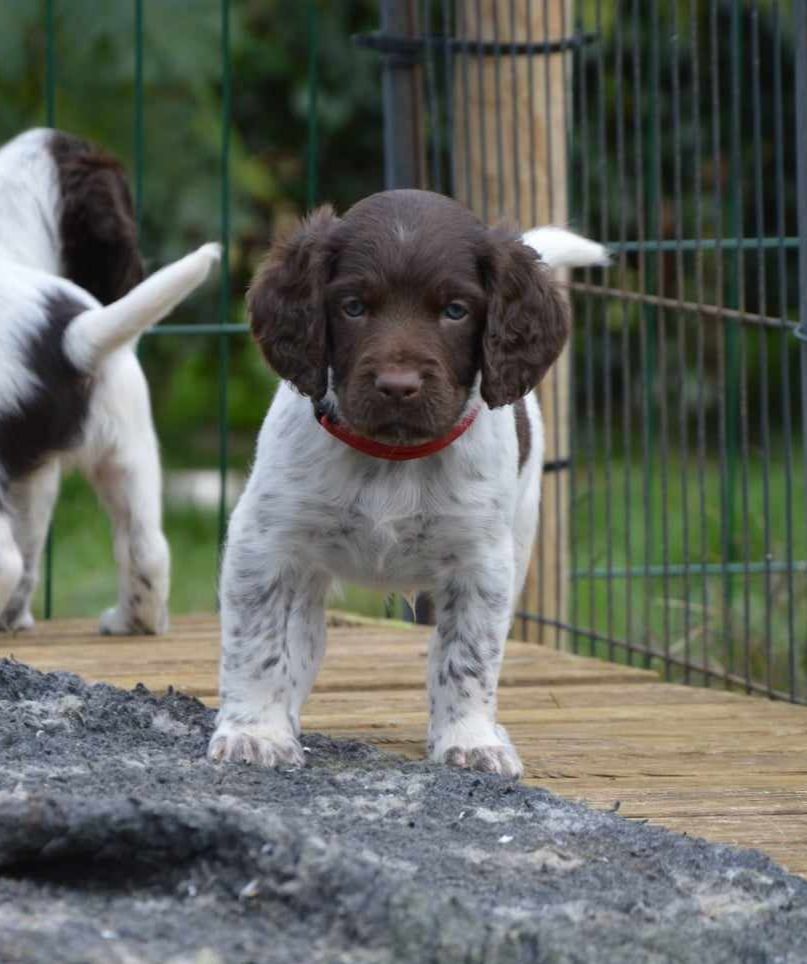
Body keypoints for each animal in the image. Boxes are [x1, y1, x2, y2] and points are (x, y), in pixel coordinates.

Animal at [210, 188, 608, 776]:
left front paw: (470, 739)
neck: (393, 458)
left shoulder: (481, 563)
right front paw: (255, 731)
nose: (398, 386)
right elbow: (258, 645)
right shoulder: (263, 542)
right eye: (353, 306)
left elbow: (468, 656)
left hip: (519, 537)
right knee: (300, 640)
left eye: (455, 310)